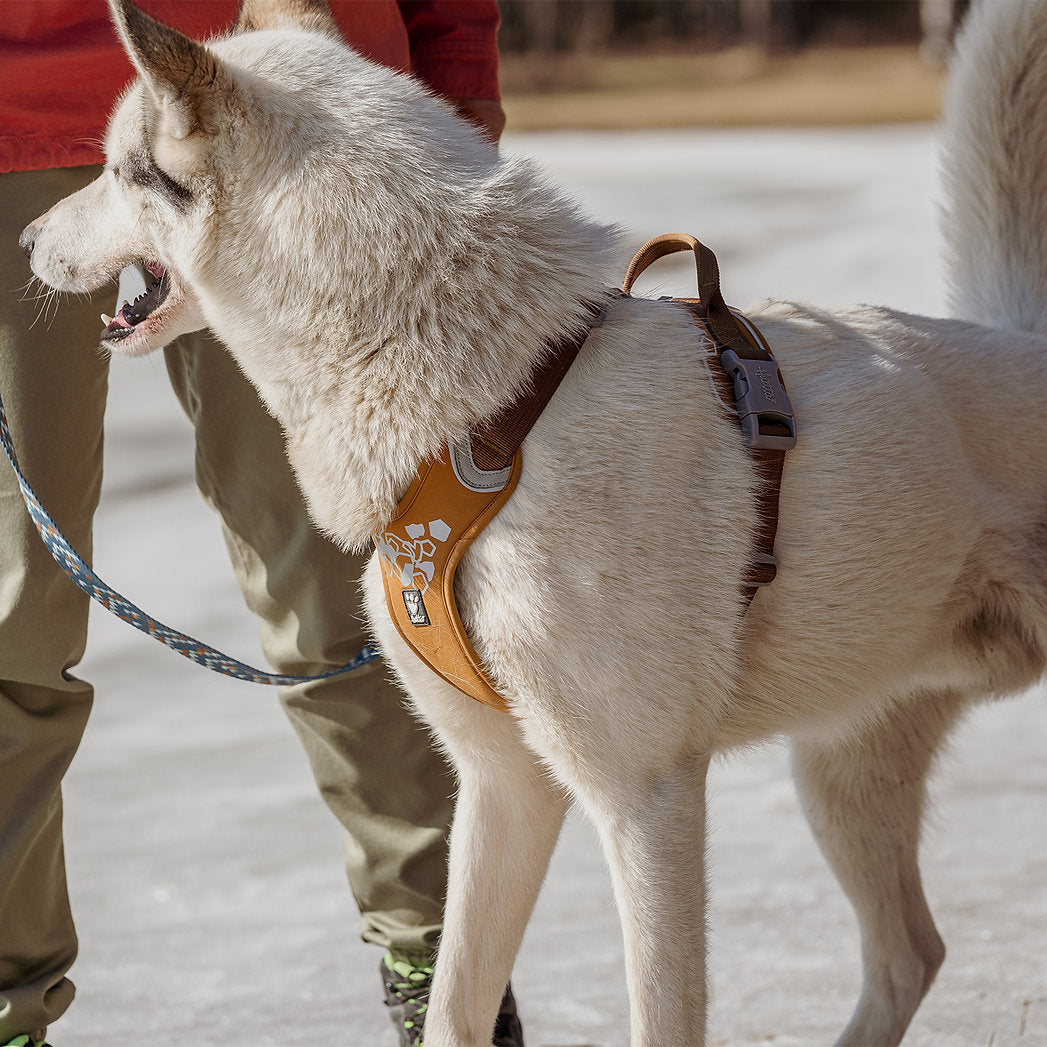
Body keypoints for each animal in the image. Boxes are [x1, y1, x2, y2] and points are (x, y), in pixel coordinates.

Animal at [18, 0, 1047, 1042]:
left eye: (112, 169)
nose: (22, 238)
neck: (498, 412)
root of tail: (1019, 340)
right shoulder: (502, 784)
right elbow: (452, 1005)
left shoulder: (644, 798)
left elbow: (658, 1016)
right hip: (839, 775)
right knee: (910, 952)